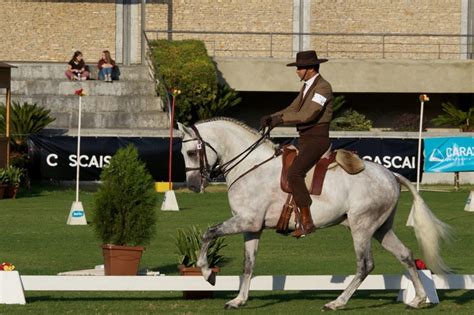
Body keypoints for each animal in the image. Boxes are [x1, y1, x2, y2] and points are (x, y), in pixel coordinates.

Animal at [177, 118, 448, 312]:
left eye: (191, 153)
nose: (192, 186)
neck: (250, 167)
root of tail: (391, 174)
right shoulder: (252, 227)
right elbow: (248, 264)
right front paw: (238, 300)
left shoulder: (246, 221)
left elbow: (209, 233)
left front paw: (207, 273)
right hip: (381, 229)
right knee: (406, 255)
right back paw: (418, 299)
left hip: (361, 228)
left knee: (365, 265)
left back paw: (337, 302)